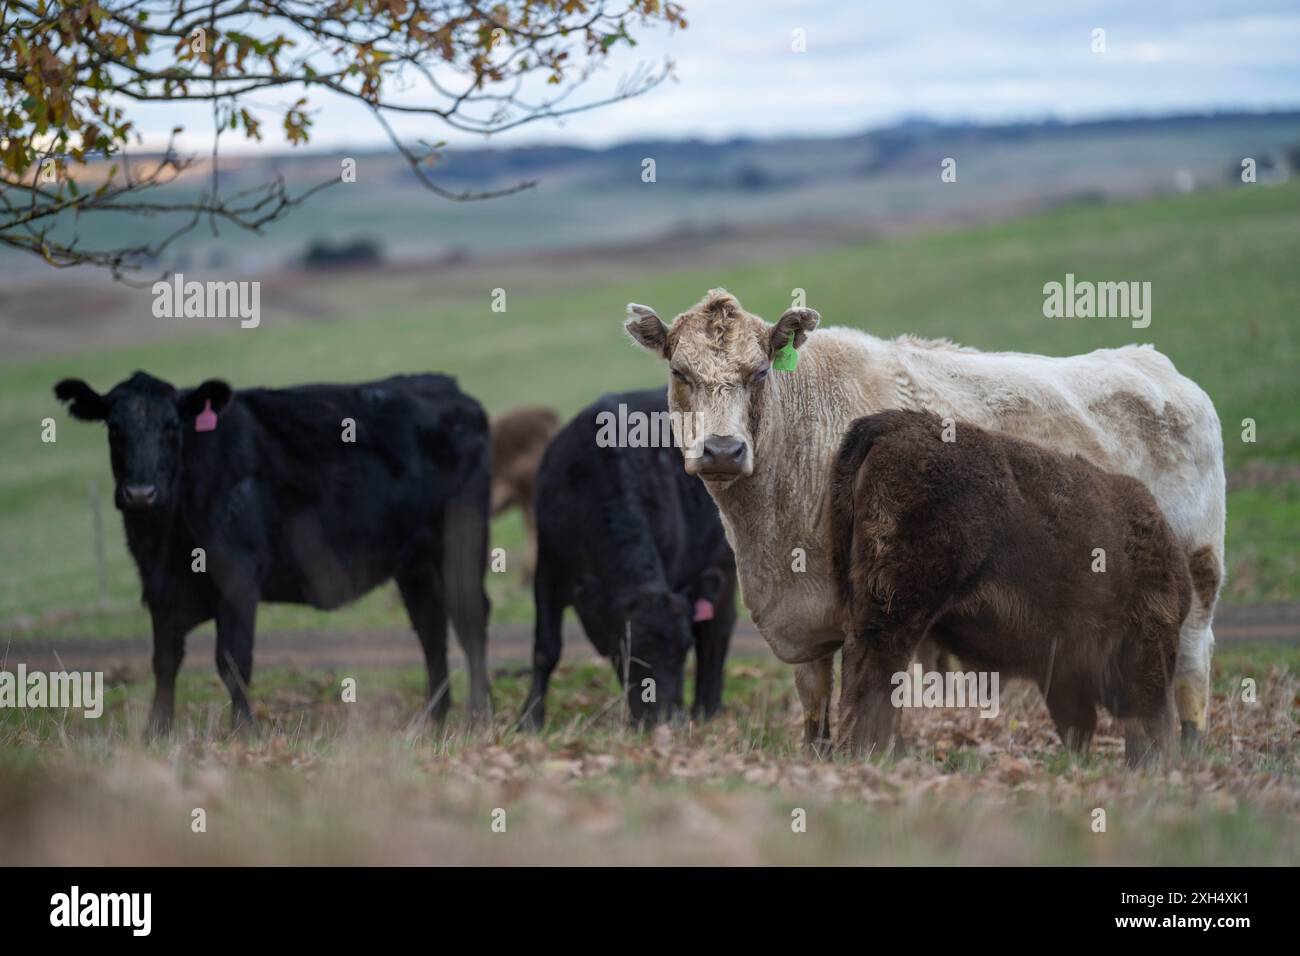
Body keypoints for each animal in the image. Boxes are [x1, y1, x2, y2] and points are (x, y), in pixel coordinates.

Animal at [53, 371, 492, 736]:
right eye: (114, 428)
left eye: (171, 428)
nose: (140, 494)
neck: (165, 538)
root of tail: (450, 388)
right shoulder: (160, 590)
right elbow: (164, 661)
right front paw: (156, 732)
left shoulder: (238, 578)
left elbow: (232, 661)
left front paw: (245, 733)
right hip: (414, 563)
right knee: (431, 628)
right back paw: (431, 719)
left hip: (461, 540)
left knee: (469, 618)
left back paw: (477, 715)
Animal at [518, 388, 737, 729]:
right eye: (627, 652)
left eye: (683, 649)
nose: (663, 718)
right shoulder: (548, 569)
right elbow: (546, 647)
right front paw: (530, 718)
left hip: (724, 565)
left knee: (717, 632)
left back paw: (707, 709)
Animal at [830, 409, 1190, 764]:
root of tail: (888, 425)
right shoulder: (1145, 641)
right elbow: (1146, 717)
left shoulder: (1064, 668)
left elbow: (1082, 722)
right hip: (902, 605)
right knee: (875, 670)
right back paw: (869, 752)